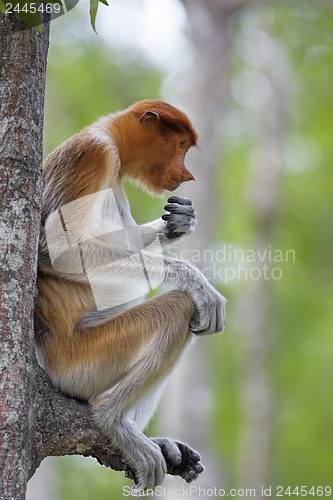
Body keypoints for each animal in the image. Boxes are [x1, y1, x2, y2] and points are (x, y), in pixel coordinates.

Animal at [35, 99, 226, 490]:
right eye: (180, 145)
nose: (187, 175)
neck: (111, 141)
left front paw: (179, 222)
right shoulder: (92, 154)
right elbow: (56, 252)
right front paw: (195, 281)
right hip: (81, 363)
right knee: (180, 308)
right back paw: (113, 420)